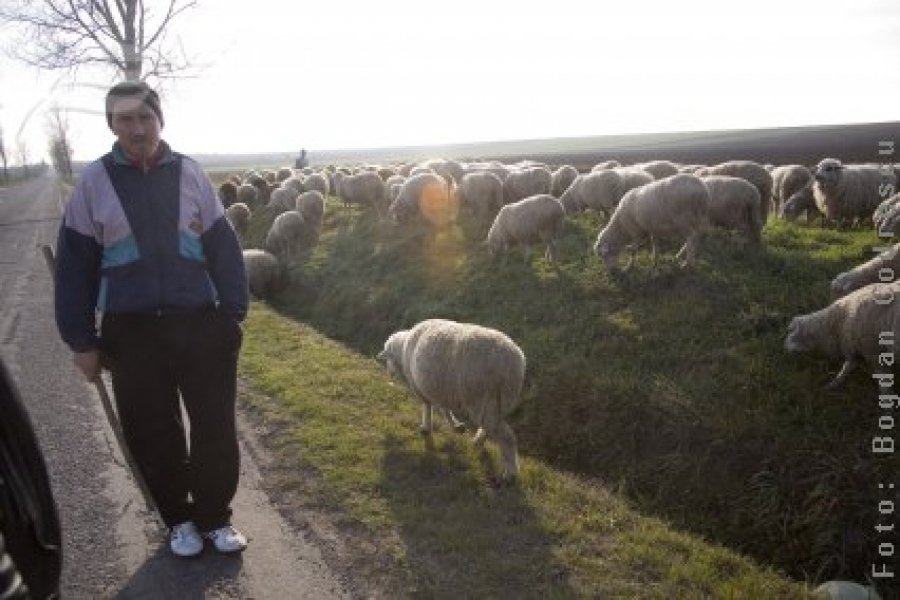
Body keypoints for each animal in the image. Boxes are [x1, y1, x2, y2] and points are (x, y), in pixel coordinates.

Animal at [374, 318, 528, 478]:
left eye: (388, 358)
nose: (389, 373)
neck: (403, 349)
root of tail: (516, 363)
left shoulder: (421, 388)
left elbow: (427, 407)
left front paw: (425, 428)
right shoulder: (442, 389)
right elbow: (445, 409)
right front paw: (456, 425)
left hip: (482, 398)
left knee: (506, 437)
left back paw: (511, 473)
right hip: (501, 401)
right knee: (492, 427)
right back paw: (478, 441)